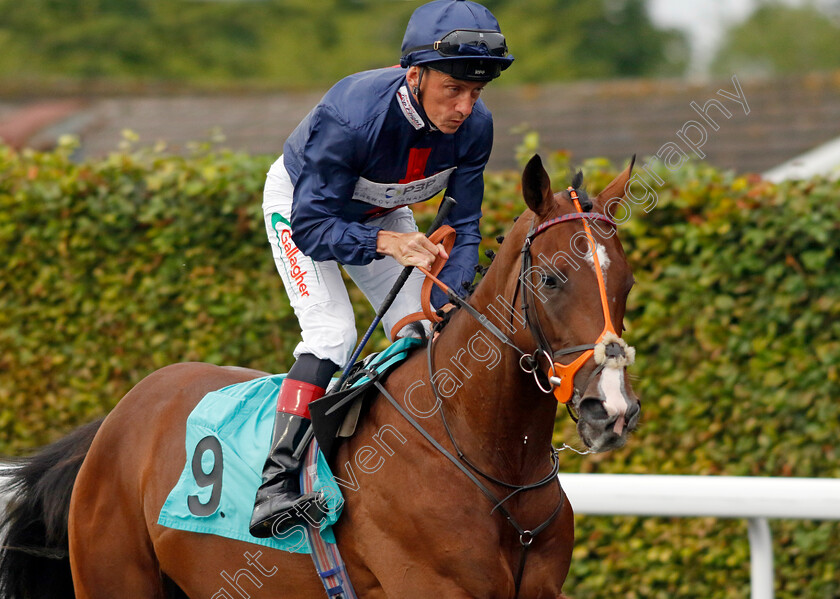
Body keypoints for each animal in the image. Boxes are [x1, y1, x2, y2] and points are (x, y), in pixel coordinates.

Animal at [0, 156, 636, 599]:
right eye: (551, 278)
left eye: (626, 281)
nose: (610, 409)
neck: (491, 462)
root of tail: (116, 419)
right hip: (113, 577)